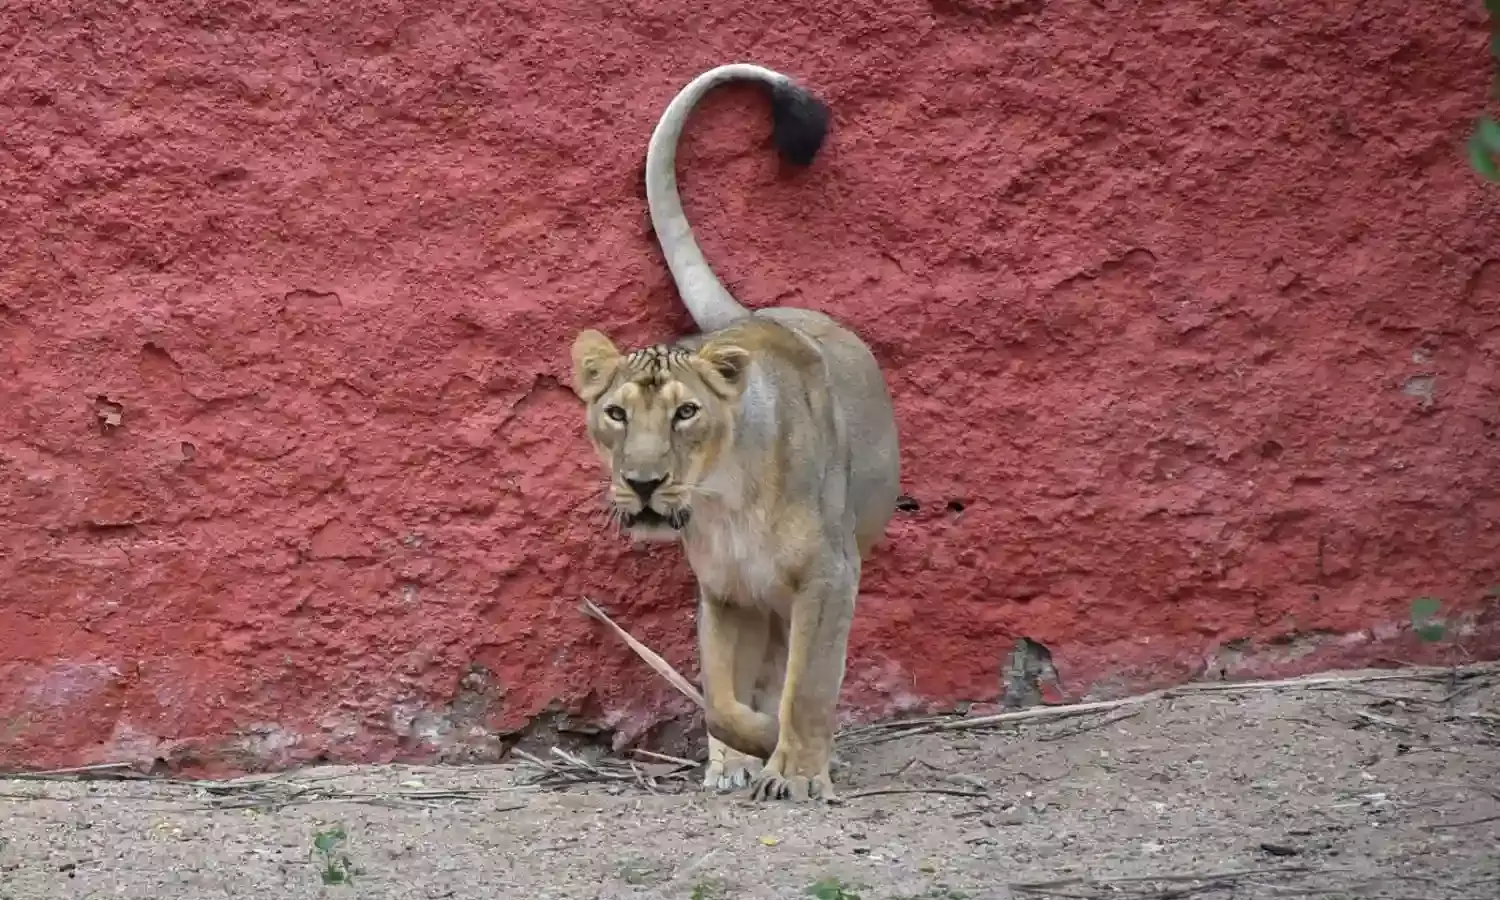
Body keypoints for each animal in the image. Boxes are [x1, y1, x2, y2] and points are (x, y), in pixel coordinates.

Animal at [568, 64, 900, 803]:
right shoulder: (724, 591)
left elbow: (808, 686)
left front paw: (797, 772)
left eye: (686, 413)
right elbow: (719, 693)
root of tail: (758, 315)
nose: (643, 483)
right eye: (616, 415)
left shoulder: (831, 576)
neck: (725, 498)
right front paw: (746, 746)